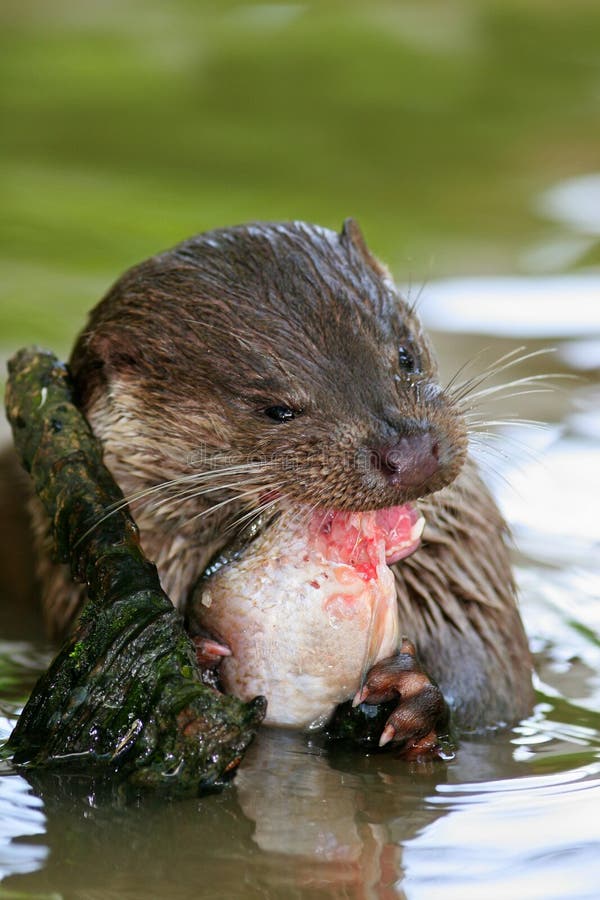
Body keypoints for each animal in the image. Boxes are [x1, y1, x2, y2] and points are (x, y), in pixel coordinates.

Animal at [28, 220, 532, 740]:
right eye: (277, 410)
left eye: (404, 355)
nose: (409, 454)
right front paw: (199, 659)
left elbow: (488, 686)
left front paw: (413, 689)